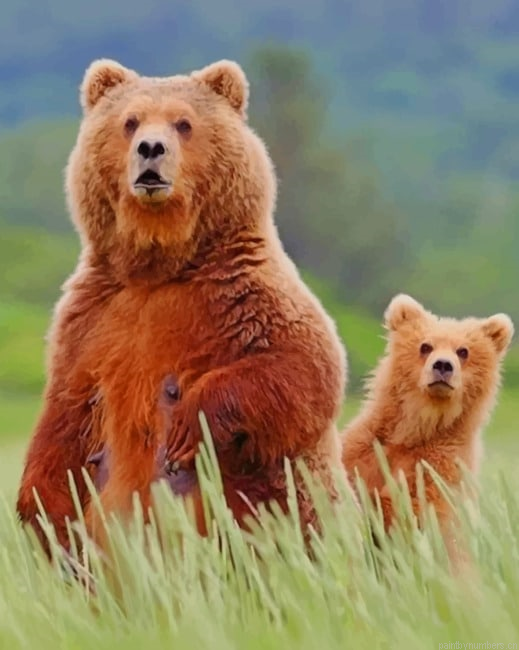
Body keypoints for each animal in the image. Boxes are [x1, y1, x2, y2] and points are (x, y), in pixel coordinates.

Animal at [16, 57, 348, 554]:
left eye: (183, 123)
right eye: (130, 121)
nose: (151, 148)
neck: (160, 266)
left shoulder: (244, 293)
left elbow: (302, 368)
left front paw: (188, 426)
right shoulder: (91, 320)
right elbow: (64, 418)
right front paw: (40, 516)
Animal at [342, 294, 514, 564]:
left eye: (463, 351)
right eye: (425, 346)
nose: (443, 365)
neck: (418, 427)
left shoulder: (442, 469)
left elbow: (418, 514)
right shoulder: (366, 449)